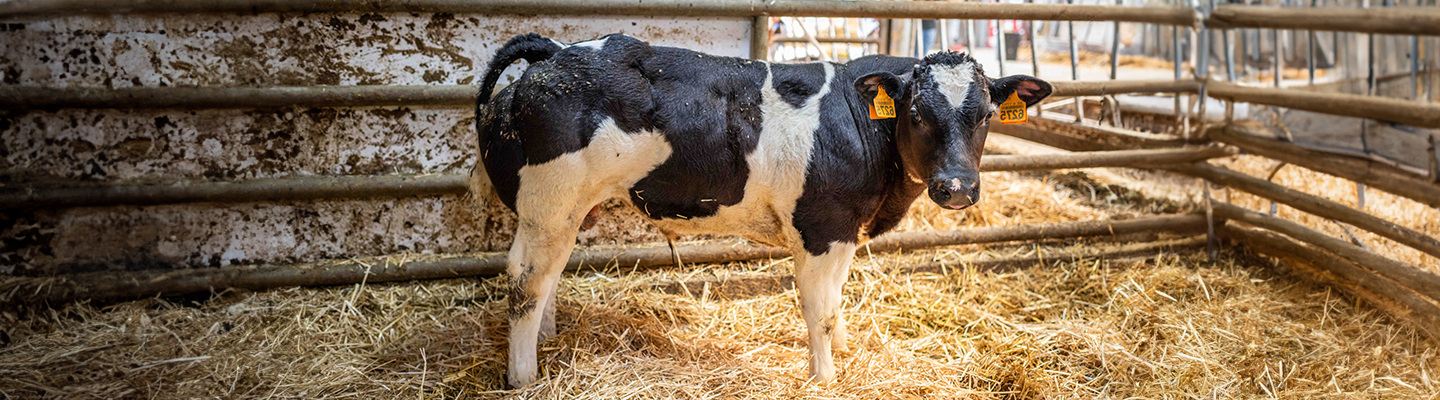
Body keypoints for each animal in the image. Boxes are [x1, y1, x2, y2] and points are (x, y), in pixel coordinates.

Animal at [473, 33, 1051, 388]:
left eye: (985, 115)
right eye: (915, 113)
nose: (956, 187)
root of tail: (553, 51)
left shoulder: (844, 230)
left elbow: (838, 301)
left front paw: (843, 352)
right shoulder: (821, 226)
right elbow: (820, 309)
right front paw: (824, 377)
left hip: (563, 214)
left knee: (546, 278)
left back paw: (549, 340)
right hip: (549, 204)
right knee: (524, 280)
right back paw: (524, 375)